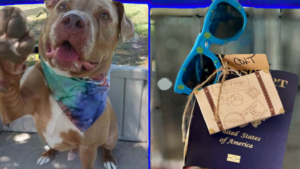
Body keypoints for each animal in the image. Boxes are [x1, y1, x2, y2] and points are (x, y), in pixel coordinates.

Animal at [0, 0, 135, 168]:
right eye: (62, 6)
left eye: (104, 15)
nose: (73, 20)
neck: (66, 81)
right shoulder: (17, 106)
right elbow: (9, 90)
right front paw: (9, 47)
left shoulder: (88, 147)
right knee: (51, 146)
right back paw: (47, 153)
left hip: (111, 136)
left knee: (108, 147)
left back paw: (109, 159)